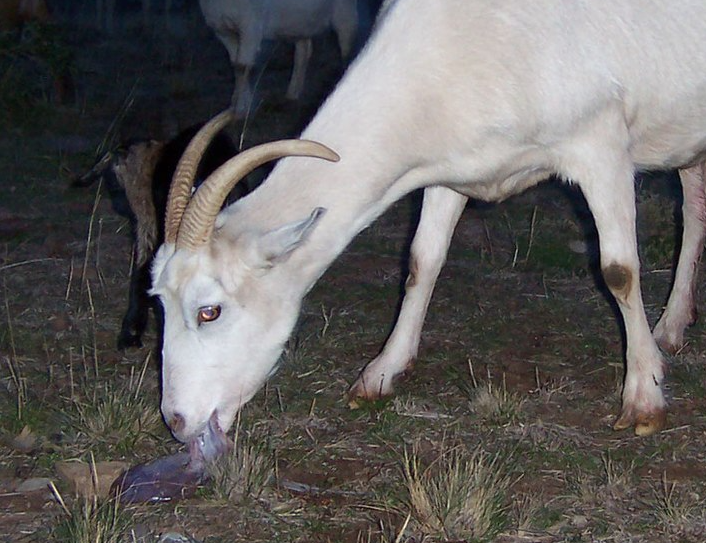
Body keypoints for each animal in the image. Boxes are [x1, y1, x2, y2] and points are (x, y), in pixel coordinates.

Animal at [199, 0, 358, 118]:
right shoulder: (222, 31)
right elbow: (236, 66)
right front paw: (239, 104)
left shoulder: (251, 26)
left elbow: (244, 67)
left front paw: (241, 108)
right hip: (301, 22)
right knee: (303, 51)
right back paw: (292, 94)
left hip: (345, 14)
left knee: (348, 48)